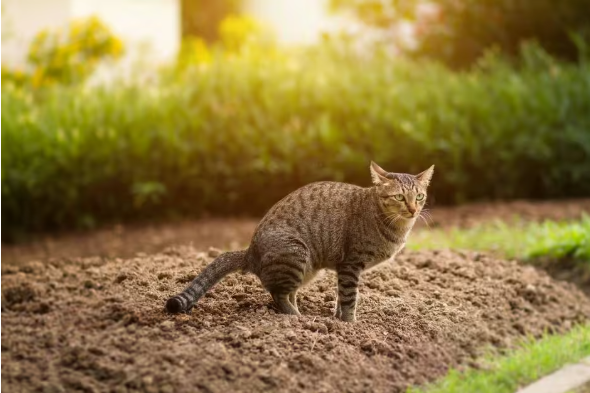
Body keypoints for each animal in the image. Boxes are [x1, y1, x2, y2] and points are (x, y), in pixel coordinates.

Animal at [166, 161, 434, 320]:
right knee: (278, 294)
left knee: (286, 292)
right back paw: (297, 318)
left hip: (306, 268)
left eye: (420, 196)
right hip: (296, 253)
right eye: (399, 197)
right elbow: (349, 298)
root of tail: (250, 251)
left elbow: (341, 297)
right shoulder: (350, 264)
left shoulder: (344, 269)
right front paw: (350, 324)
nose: (413, 209)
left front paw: (337, 319)